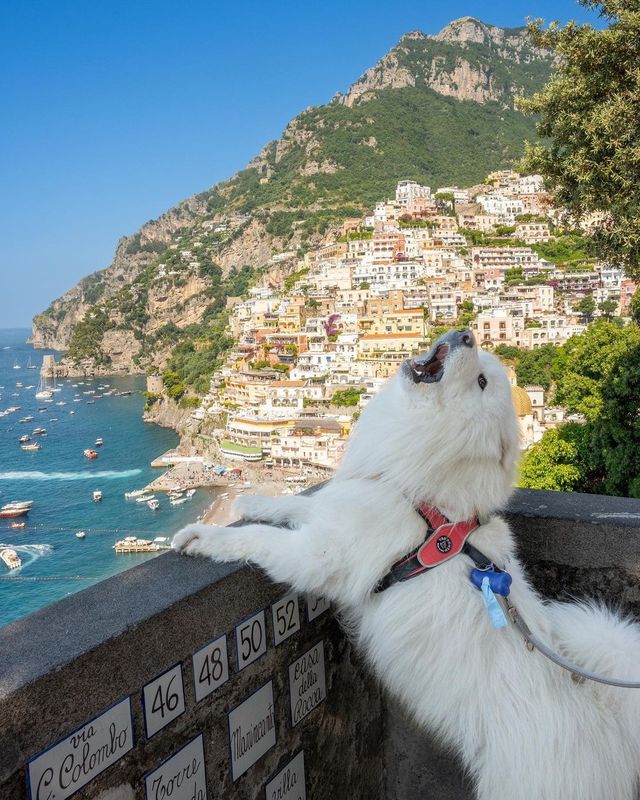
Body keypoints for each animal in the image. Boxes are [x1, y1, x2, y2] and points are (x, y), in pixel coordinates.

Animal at [172, 328, 640, 796]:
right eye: (483, 368)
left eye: (482, 383)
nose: (466, 333)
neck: (421, 491)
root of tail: (606, 726)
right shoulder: (342, 505)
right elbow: (296, 507)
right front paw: (252, 502)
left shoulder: (320, 554)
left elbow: (257, 539)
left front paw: (202, 537)